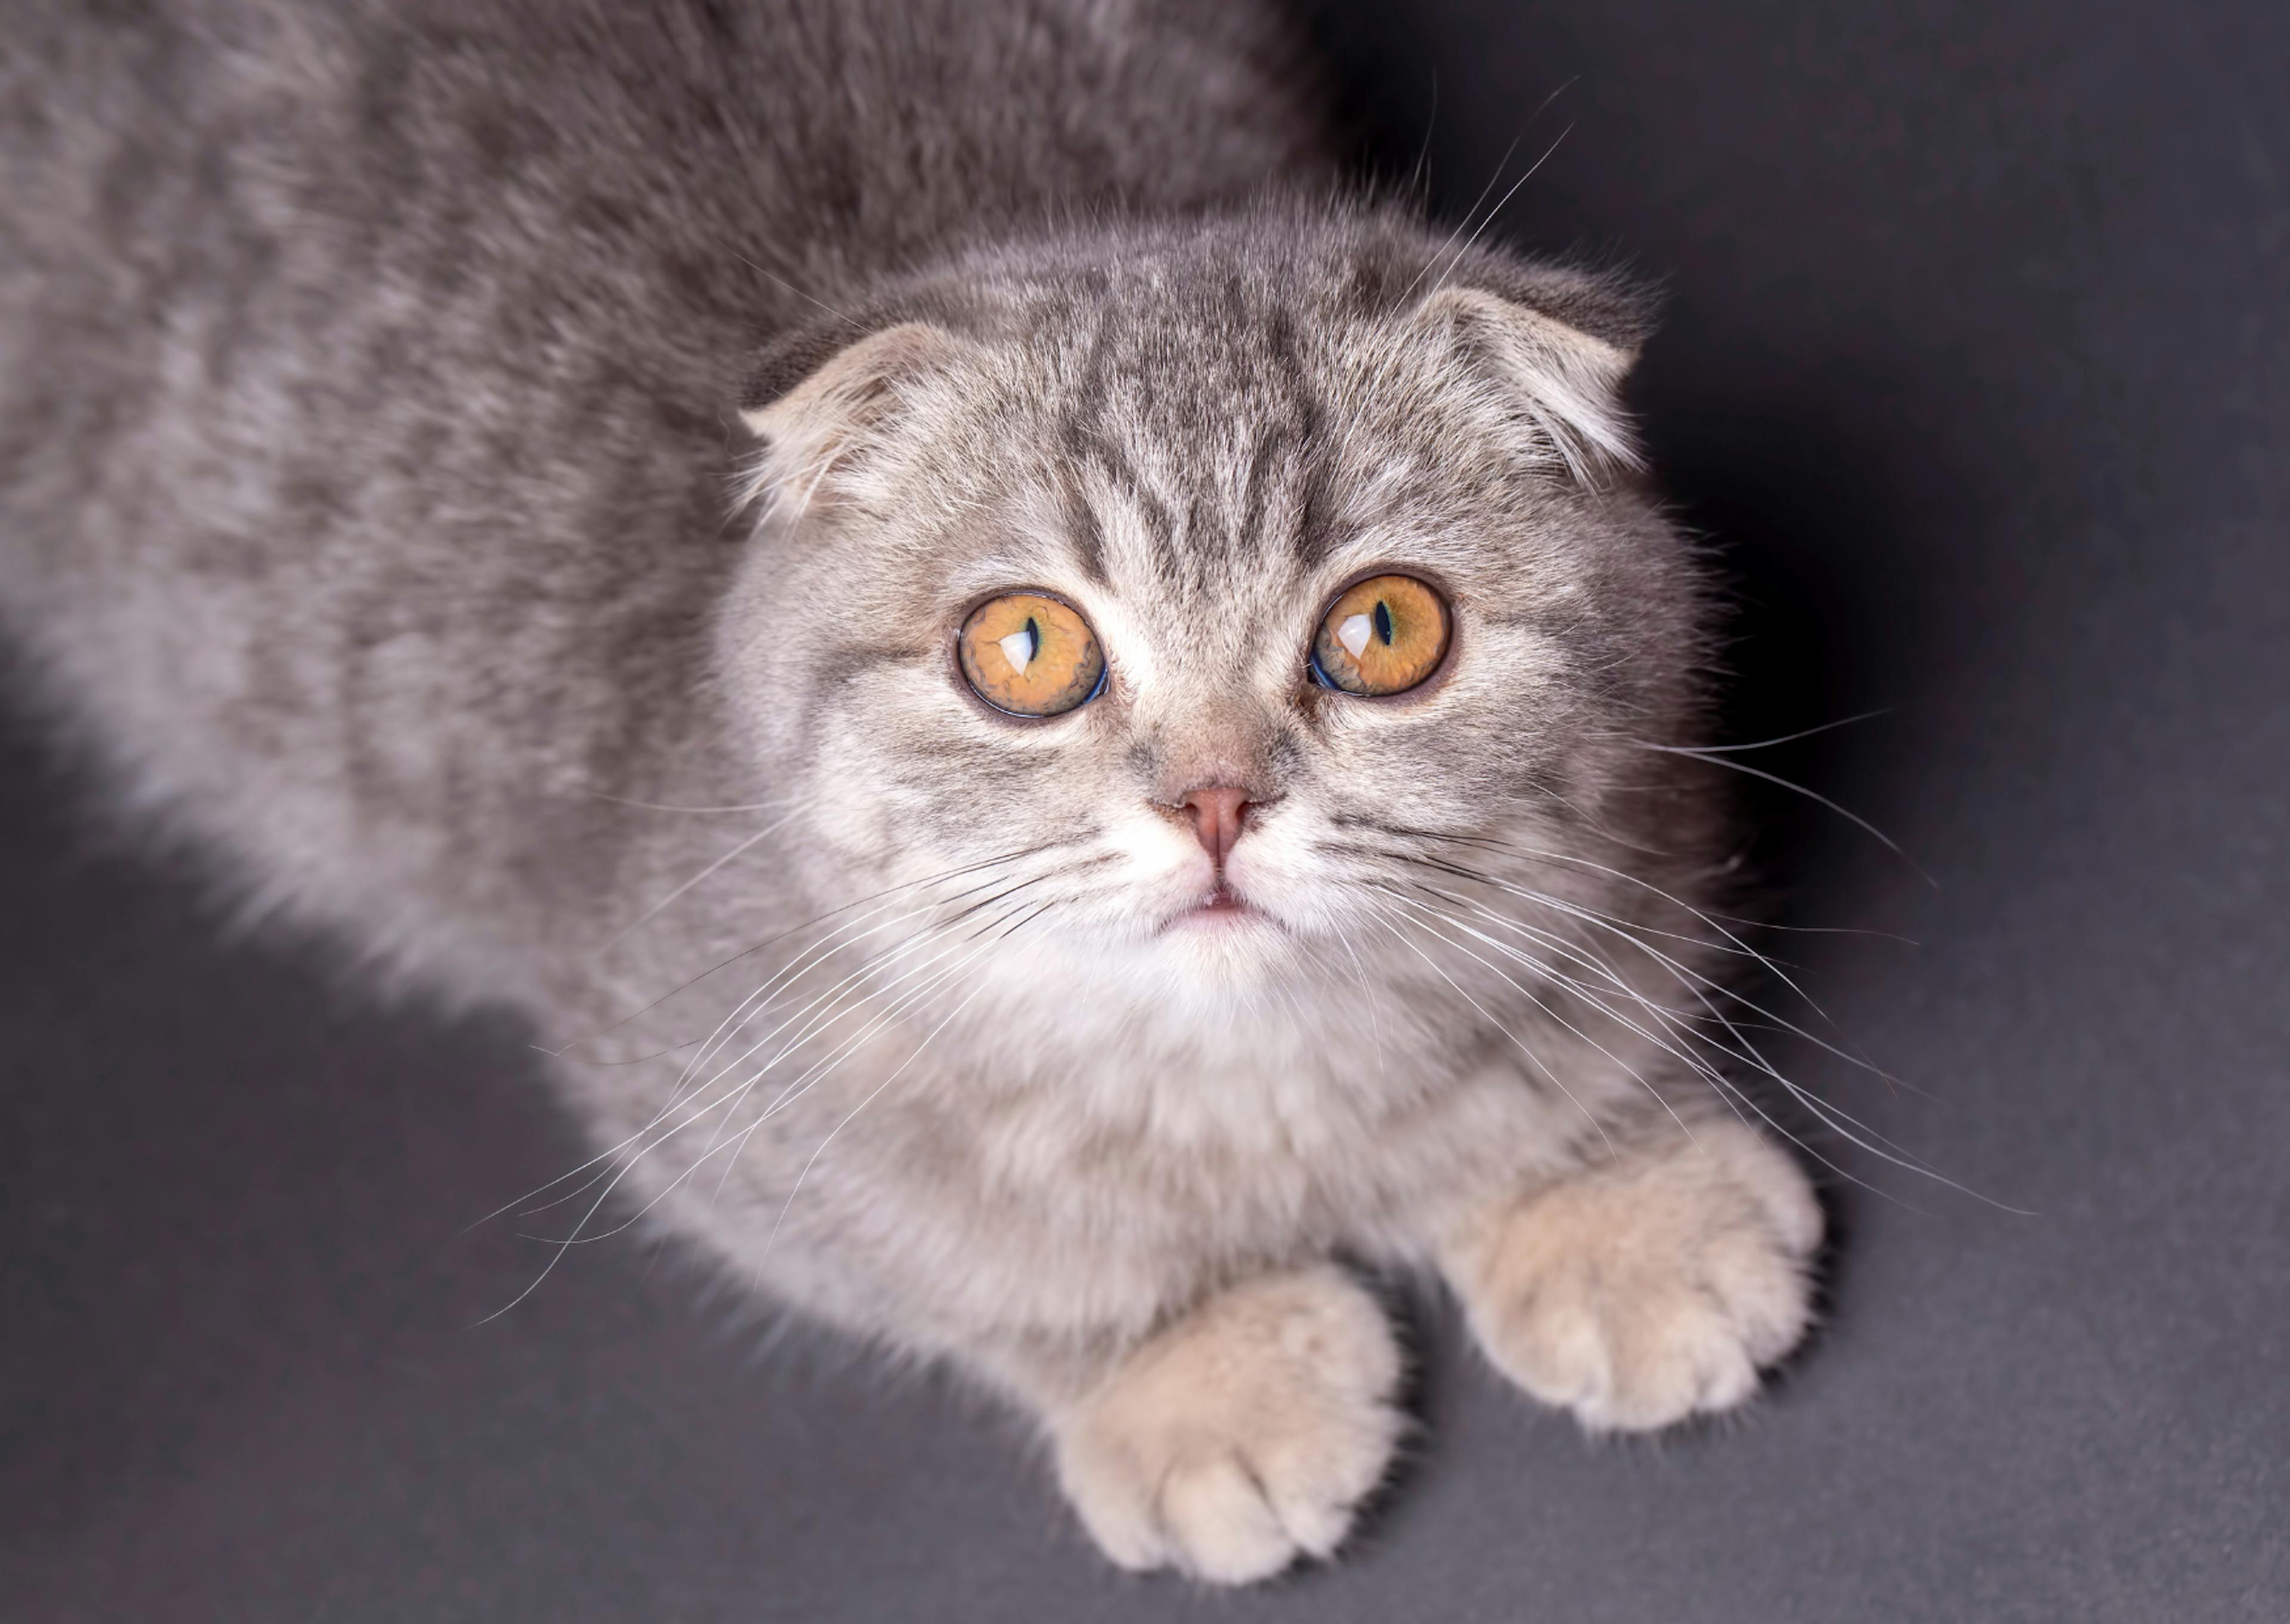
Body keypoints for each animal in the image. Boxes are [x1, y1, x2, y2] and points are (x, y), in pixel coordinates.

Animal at [0, 0, 1822, 1585]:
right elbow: (982, 1277)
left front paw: (1610, 1197)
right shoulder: (706, 1101)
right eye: (1025, 647)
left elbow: (1573, 1049)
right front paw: (1194, 1372)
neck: (1245, 1097)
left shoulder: (1649, 844)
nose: (1214, 799)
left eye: (1383, 630)